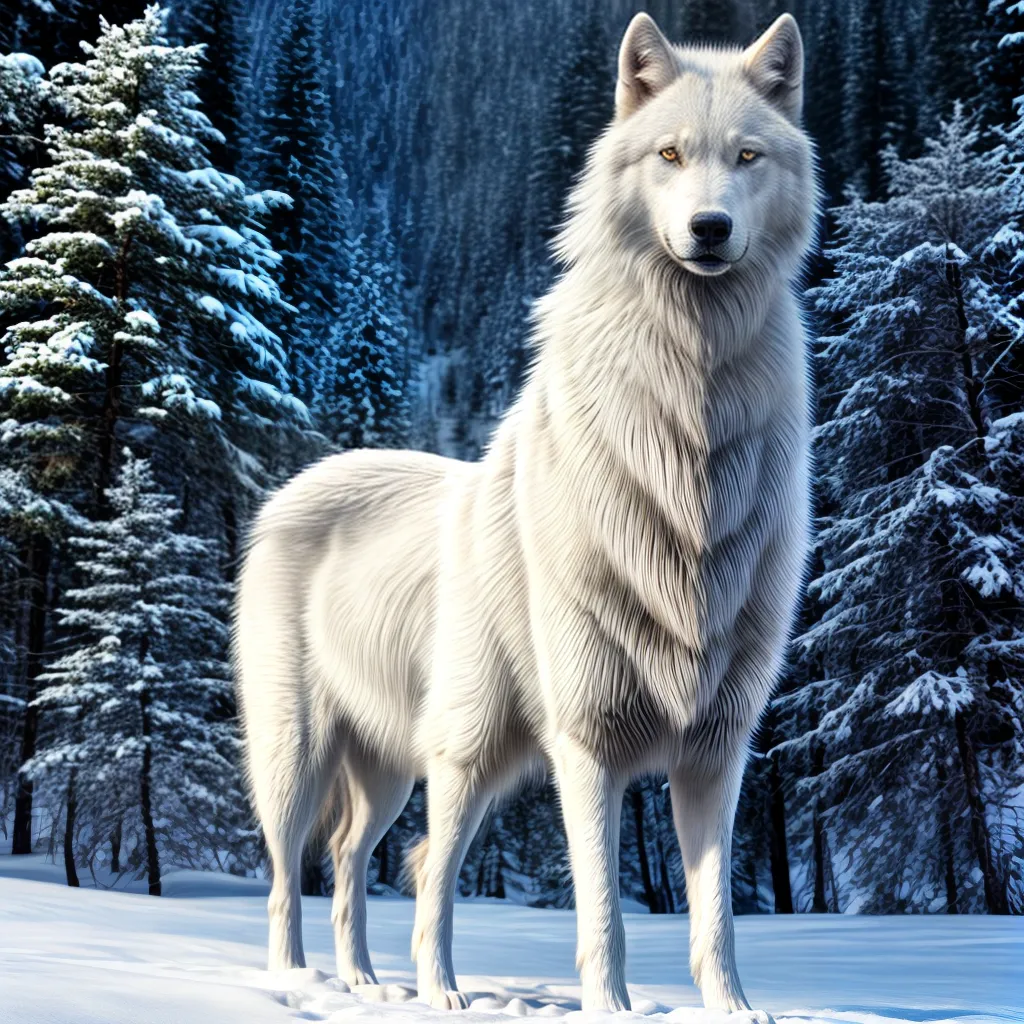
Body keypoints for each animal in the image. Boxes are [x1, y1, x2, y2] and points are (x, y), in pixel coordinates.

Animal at [236, 11, 817, 1018]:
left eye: (746, 156)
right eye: (669, 154)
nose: (709, 229)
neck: (689, 447)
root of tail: (300, 481)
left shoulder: (717, 746)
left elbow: (713, 918)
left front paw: (737, 1011)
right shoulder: (586, 741)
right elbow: (604, 914)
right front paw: (611, 1010)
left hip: (407, 767)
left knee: (363, 861)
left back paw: (373, 983)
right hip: (359, 755)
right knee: (321, 877)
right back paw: (331, 983)